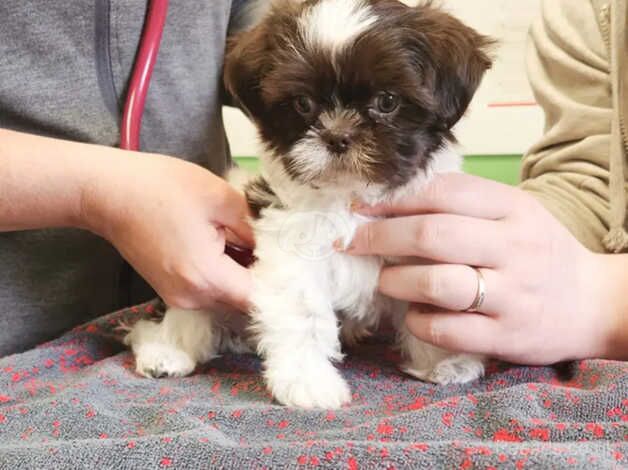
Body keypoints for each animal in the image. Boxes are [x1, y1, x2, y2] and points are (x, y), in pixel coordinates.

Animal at [124, 0, 496, 408]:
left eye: (387, 101)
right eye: (303, 104)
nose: (337, 136)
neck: (349, 198)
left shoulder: (418, 243)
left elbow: (426, 304)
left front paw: (444, 360)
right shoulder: (290, 248)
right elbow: (303, 312)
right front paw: (308, 382)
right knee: (174, 317)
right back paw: (165, 351)